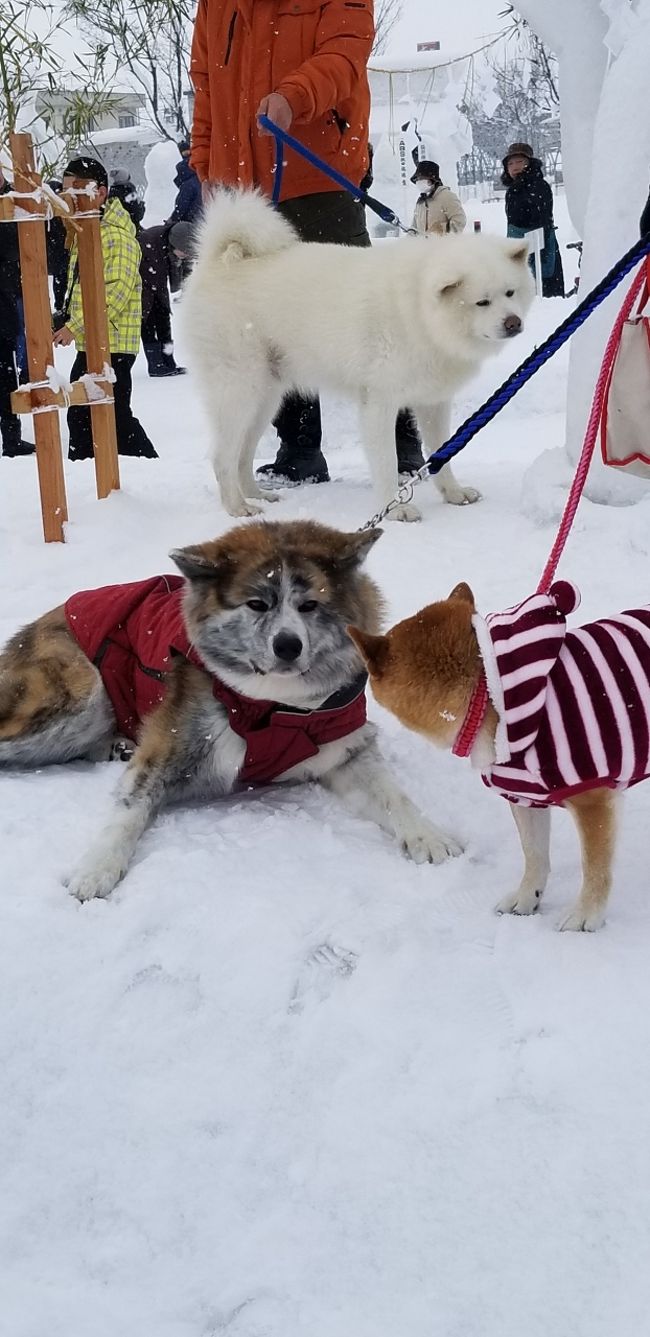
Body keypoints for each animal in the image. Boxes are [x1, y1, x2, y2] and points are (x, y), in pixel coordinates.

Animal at [0, 518, 462, 898]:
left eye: (309, 605)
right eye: (257, 604)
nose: (288, 645)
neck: (273, 705)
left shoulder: (343, 748)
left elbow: (394, 795)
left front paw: (428, 835)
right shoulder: (168, 747)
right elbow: (127, 812)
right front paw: (96, 867)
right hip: (75, 694)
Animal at [179, 189, 532, 521]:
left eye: (510, 292)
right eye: (481, 302)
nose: (514, 323)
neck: (418, 310)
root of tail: (218, 260)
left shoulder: (433, 402)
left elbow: (441, 453)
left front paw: (454, 493)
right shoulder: (378, 402)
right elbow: (387, 461)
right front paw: (395, 510)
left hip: (265, 398)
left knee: (242, 454)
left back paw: (257, 495)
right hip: (240, 391)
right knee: (223, 457)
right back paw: (237, 507)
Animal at [350, 580, 650, 935]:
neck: (488, 697)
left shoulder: (593, 799)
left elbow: (595, 867)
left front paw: (586, 915)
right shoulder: (526, 798)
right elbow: (534, 855)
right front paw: (528, 897)